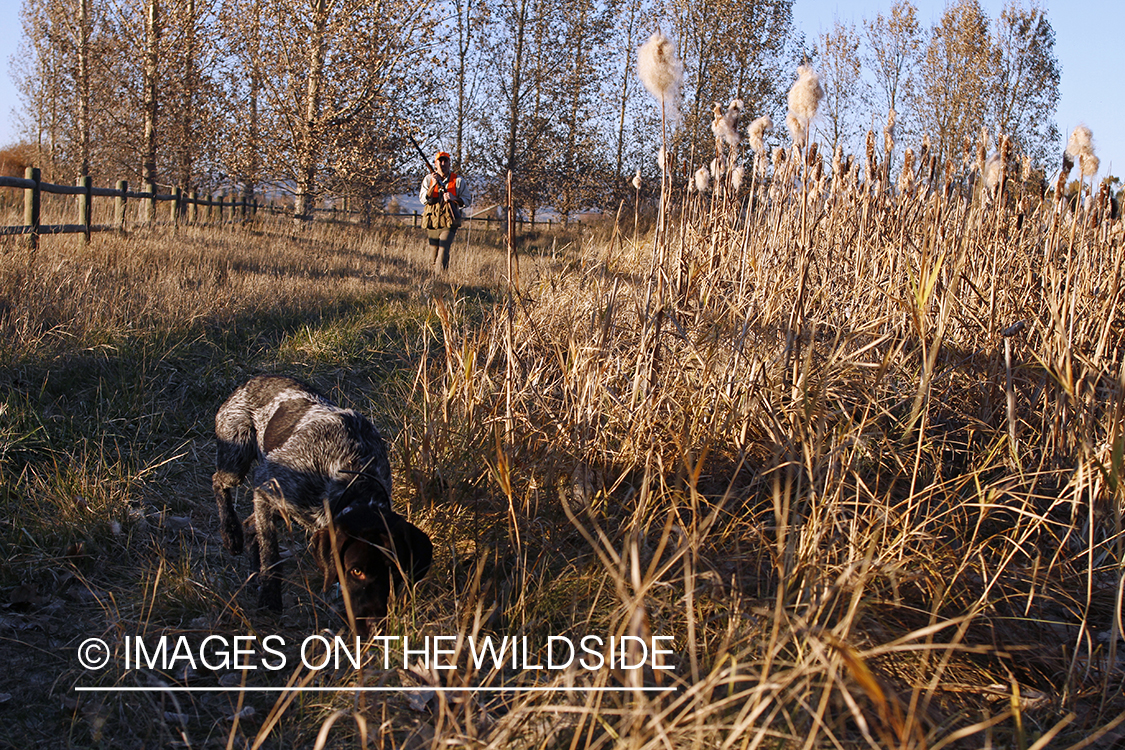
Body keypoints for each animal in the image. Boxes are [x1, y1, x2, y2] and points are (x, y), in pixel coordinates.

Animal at [211, 375, 429, 634]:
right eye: (356, 571)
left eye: (395, 573)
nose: (375, 624)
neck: (352, 476)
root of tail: (252, 380)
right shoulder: (266, 484)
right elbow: (271, 553)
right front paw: (270, 597)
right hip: (237, 459)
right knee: (219, 483)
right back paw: (230, 534)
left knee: (250, 524)